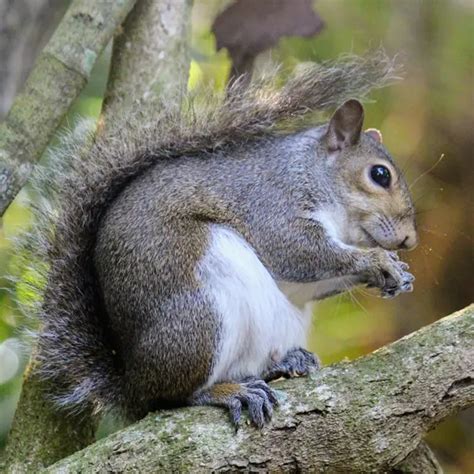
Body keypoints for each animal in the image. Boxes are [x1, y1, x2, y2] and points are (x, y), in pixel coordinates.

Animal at [22, 51, 416, 426]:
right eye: (380, 175)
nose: (410, 240)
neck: (311, 171)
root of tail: (134, 383)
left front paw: (397, 273)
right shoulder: (270, 204)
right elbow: (296, 251)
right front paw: (376, 260)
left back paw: (284, 362)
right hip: (200, 317)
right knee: (173, 396)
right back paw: (227, 391)